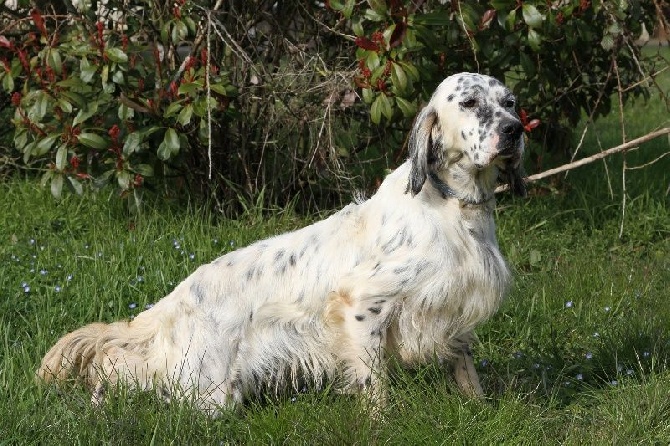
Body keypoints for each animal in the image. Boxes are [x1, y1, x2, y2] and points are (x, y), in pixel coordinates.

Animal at [38, 72, 532, 412]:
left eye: (510, 102)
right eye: (469, 102)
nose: (514, 129)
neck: (456, 209)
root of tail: (170, 304)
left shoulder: (458, 306)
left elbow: (465, 368)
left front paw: (479, 407)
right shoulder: (363, 305)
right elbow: (374, 387)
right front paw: (382, 422)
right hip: (211, 391)